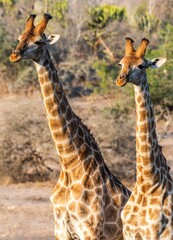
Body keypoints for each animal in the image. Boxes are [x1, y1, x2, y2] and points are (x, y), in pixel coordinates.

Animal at [9, 13, 130, 240]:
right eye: (20, 38)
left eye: (39, 42)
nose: (14, 55)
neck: (69, 164)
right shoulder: (60, 229)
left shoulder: (90, 230)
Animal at [115, 37, 173, 238]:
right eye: (121, 63)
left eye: (141, 65)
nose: (120, 79)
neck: (147, 181)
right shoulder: (128, 232)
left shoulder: (154, 233)